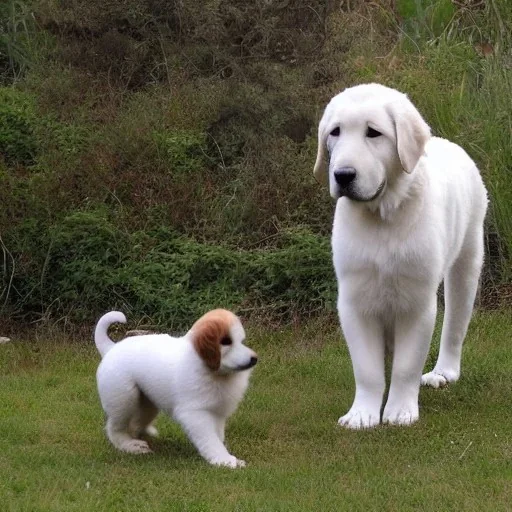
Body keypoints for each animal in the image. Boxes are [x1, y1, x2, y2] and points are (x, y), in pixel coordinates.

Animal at [93, 308, 256, 468]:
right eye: (226, 341)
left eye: (241, 341)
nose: (254, 359)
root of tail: (111, 348)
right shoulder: (196, 414)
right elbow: (211, 440)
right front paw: (224, 460)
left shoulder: (217, 413)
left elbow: (218, 437)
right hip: (123, 399)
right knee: (115, 428)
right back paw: (130, 445)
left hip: (147, 403)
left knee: (136, 423)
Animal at [312, 83, 488, 428]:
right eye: (335, 132)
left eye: (373, 133)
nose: (343, 175)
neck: (382, 216)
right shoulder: (354, 300)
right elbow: (366, 369)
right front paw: (362, 414)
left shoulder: (417, 302)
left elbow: (407, 365)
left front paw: (399, 411)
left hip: (468, 257)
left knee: (455, 323)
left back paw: (443, 372)